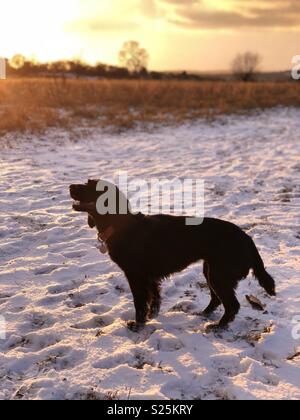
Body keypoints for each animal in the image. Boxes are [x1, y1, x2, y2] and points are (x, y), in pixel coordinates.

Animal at [69, 180, 276, 332]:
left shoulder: (135, 275)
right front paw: (151, 316)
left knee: (232, 305)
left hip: (219, 274)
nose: (70, 186)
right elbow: (154, 298)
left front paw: (138, 324)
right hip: (210, 270)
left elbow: (139, 303)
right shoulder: (148, 276)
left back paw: (218, 326)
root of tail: (247, 238)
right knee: (217, 299)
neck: (121, 225)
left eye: (91, 186)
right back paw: (204, 314)